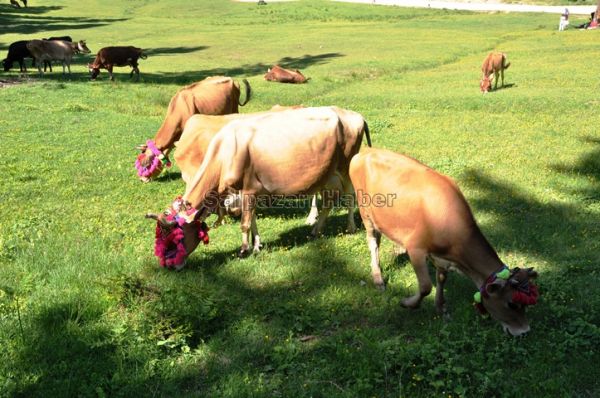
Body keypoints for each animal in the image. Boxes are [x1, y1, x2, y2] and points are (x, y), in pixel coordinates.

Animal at [146, 107, 370, 266]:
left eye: (177, 238)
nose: (168, 265)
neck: (225, 151)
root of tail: (354, 114)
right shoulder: (244, 193)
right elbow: (252, 220)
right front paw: (256, 246)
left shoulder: (249, 190)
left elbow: (245, 223)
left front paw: (244, 250)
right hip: (327, 173)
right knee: (329, 200)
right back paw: (316, 230)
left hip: (346, 165)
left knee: (350, 195)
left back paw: (350, 227)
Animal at [346, 148, 540, 336]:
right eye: (511, 304)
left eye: (526, 305)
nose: (524, 332)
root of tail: (365, 151)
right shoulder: (416, 248)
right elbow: (426, 286)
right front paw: (408, 303)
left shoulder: (441, 256)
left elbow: (441, 279)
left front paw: (441, 308)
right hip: (365, 211)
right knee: (373, 242)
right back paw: (378, 278)